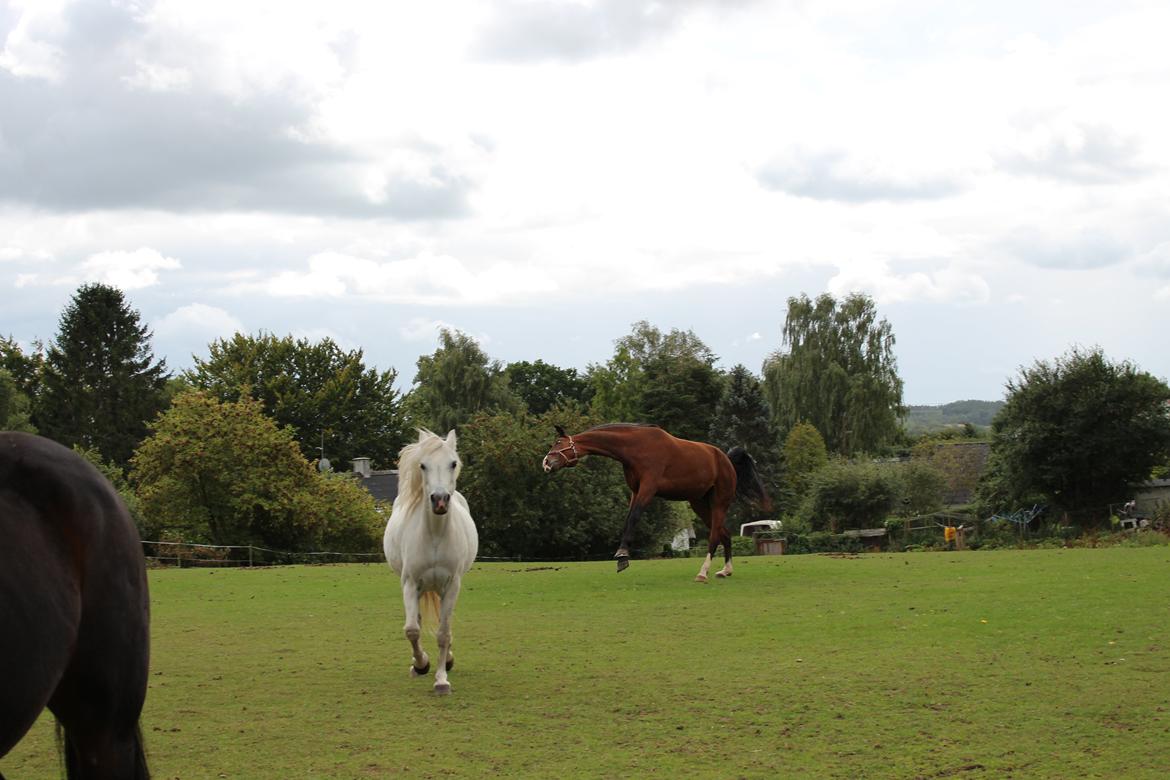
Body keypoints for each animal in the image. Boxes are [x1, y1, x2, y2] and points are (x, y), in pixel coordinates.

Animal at [381, 432, 477, 696]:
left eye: (453, 463)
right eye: (422, 465)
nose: (440, 501)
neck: (435, 535)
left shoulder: (452, 585)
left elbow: (444, 633)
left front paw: (441, 680)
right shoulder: (410, 584)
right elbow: (412, 629)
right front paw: (421, 664)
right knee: (418, 622)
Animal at [542, 423, 772, 582]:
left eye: (558, 444)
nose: (546, 463)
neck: (636, 447)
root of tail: (726, 460)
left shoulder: (648, 488)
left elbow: (634, 517)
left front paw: (622, 555)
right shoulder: (635, 491)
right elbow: (628, 519)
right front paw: (622, 557)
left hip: (719, 503)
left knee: (715, 534)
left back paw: (703, 572)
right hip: (698, 503)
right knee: (724, 533)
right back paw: (726, 570)